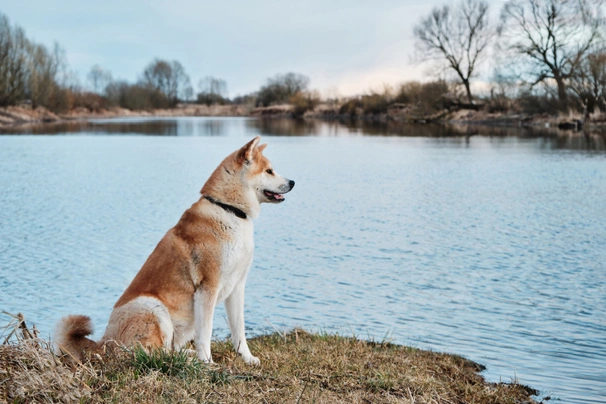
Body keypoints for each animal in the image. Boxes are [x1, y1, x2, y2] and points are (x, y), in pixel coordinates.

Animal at [53, 137, 296, 366]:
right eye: (269, 171)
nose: (292, 182)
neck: (228, 210)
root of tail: (104, 344)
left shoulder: (237, 287)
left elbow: (239, 331)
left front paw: (247, 358)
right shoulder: (208, 288)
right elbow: (206, 334)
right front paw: (208, 363)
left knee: (167, 351)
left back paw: (187, 356)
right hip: (154, 309)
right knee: (149, 355)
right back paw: (188, 360)